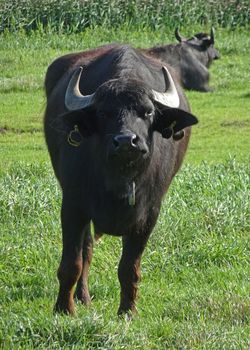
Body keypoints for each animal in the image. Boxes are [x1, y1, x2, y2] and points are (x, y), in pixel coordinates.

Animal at [44, 43, 198, 314]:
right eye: (104, 113)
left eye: (148, 112)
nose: (127, 141)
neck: (118, 177)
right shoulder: (73, 205)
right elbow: (72, 263)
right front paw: (64, 309)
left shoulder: (148, 213)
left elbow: (129, 268)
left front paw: (127, 311)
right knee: (87, 250)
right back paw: (83, 297)